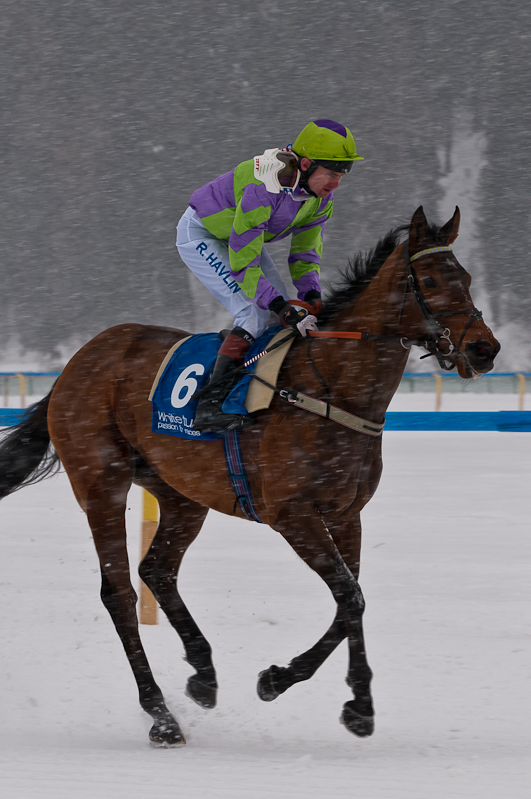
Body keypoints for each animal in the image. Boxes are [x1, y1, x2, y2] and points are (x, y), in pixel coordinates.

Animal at [0, 208, 498, 752]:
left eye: (467, 277)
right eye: (429, 281)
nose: (485, 348)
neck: (334, 389)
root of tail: (78, 361)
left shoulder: (347, 515)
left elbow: (352, 599)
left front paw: (337, 698)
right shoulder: (293, 514)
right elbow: (349, 595)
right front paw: (309, 689)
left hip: (181, 494)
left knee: (158, 570)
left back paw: (202, 675)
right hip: (100, 481)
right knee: (119, 593)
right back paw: (161, 715)